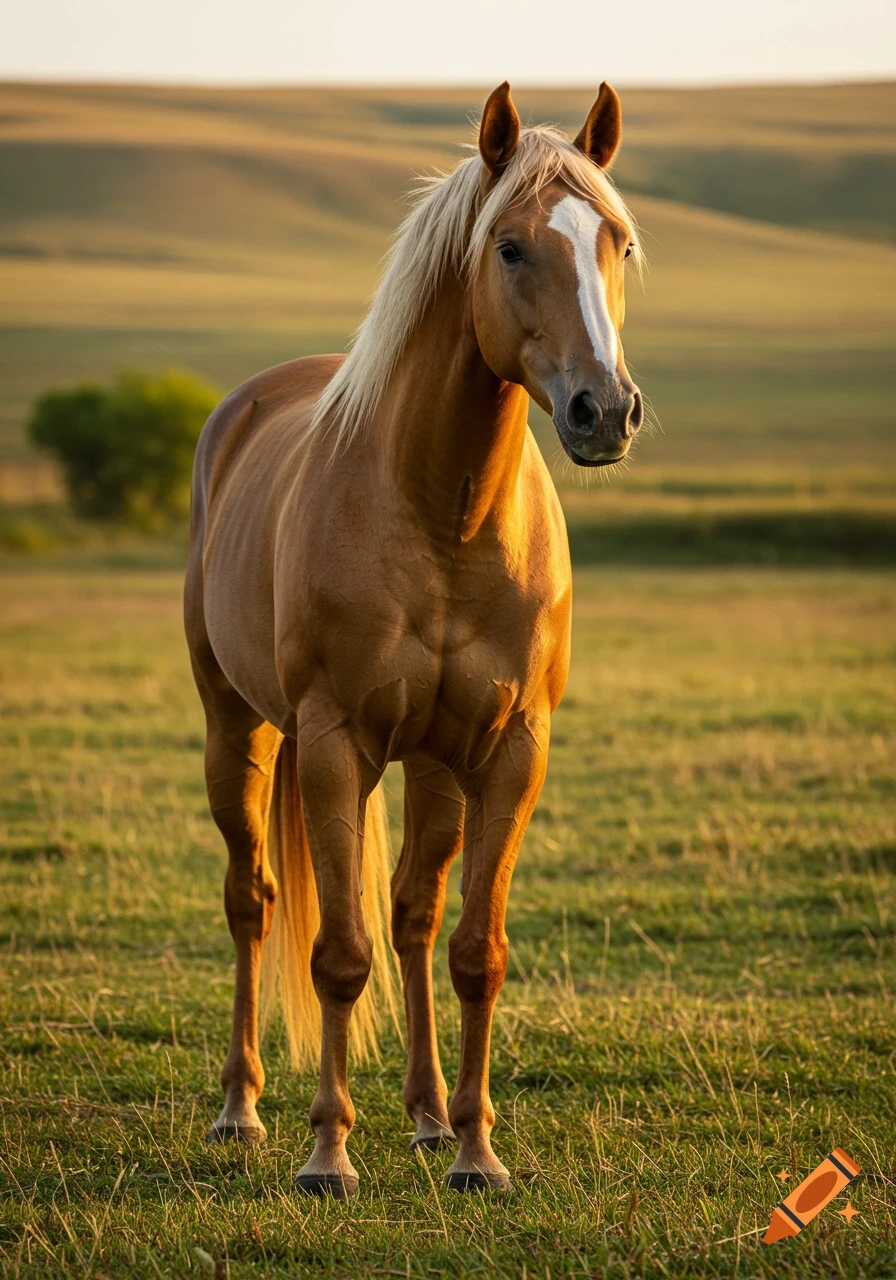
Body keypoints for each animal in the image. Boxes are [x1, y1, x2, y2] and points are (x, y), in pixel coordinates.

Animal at [184, 80, 645, 1197]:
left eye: (615, 241)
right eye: (511, 247)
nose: (604, 410)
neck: (443, 512)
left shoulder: (511, 748)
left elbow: (472, 948)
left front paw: (477, 1149)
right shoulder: (335, 743)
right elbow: (337, 954)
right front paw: (327, 1154)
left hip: (434, 763)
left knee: (411, 912)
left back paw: (432, 1119)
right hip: (239, 730)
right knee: (253, 901)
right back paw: (241, 1109)